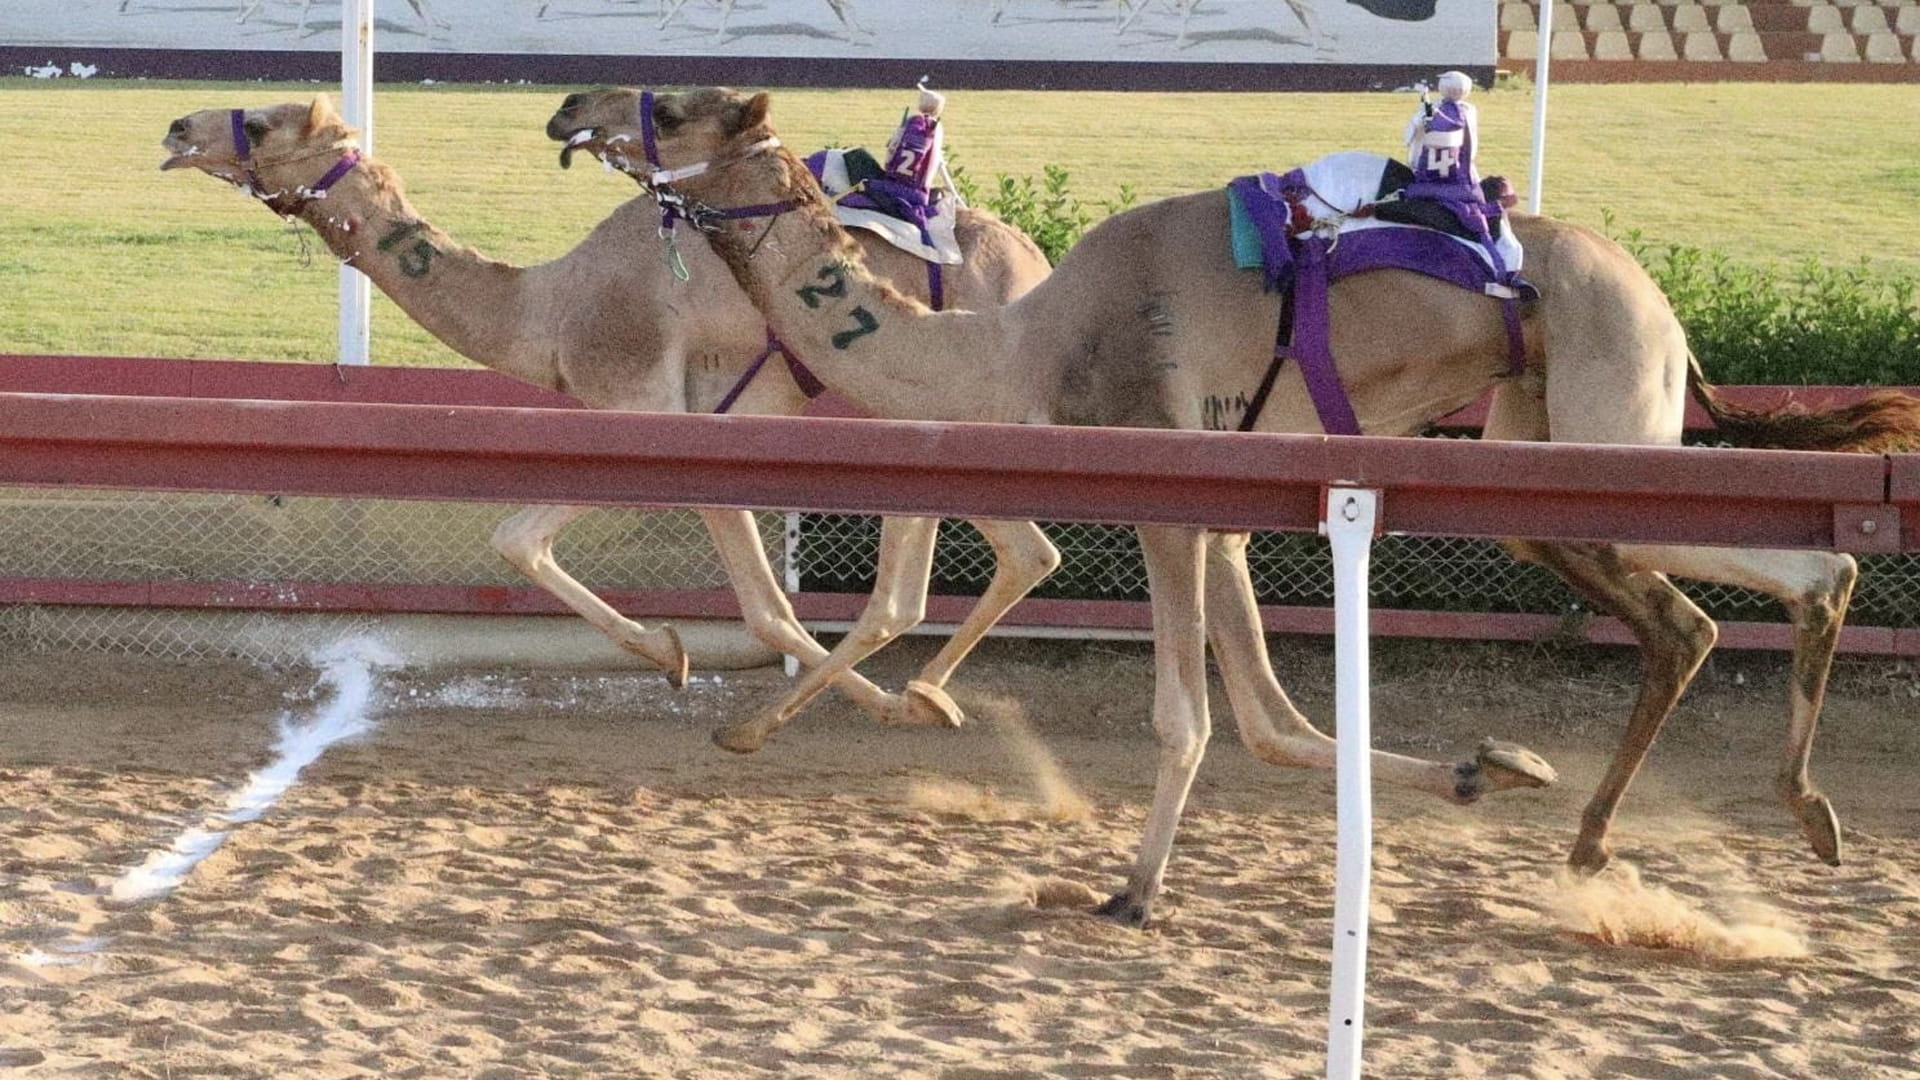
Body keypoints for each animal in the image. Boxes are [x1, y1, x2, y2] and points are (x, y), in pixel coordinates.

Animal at [157, 95, 1062, 736]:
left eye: (262, 124)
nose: (175, 127)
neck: (546, 308)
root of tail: (1034, 263)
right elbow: (518, 540)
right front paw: (673, 655)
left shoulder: (650, 406)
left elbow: (762, 610)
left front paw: (682, 659)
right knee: (999, 561)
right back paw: (928, 695)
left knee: (982, 565)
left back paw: (904, 701)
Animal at [548, 86, 1920, 925]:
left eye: (678, 105)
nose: (568, 107)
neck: (1027, 347)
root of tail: (1664, 304)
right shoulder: (1225, 507)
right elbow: (1267, 718)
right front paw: (1486, 768)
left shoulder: (1169, 493)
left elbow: (1189, 716)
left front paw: (1129, 893)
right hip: (1544, 455)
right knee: (1686, 613)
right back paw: (1615, 837)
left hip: (1612, 410)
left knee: (1806, 570)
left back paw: (1801, 810)